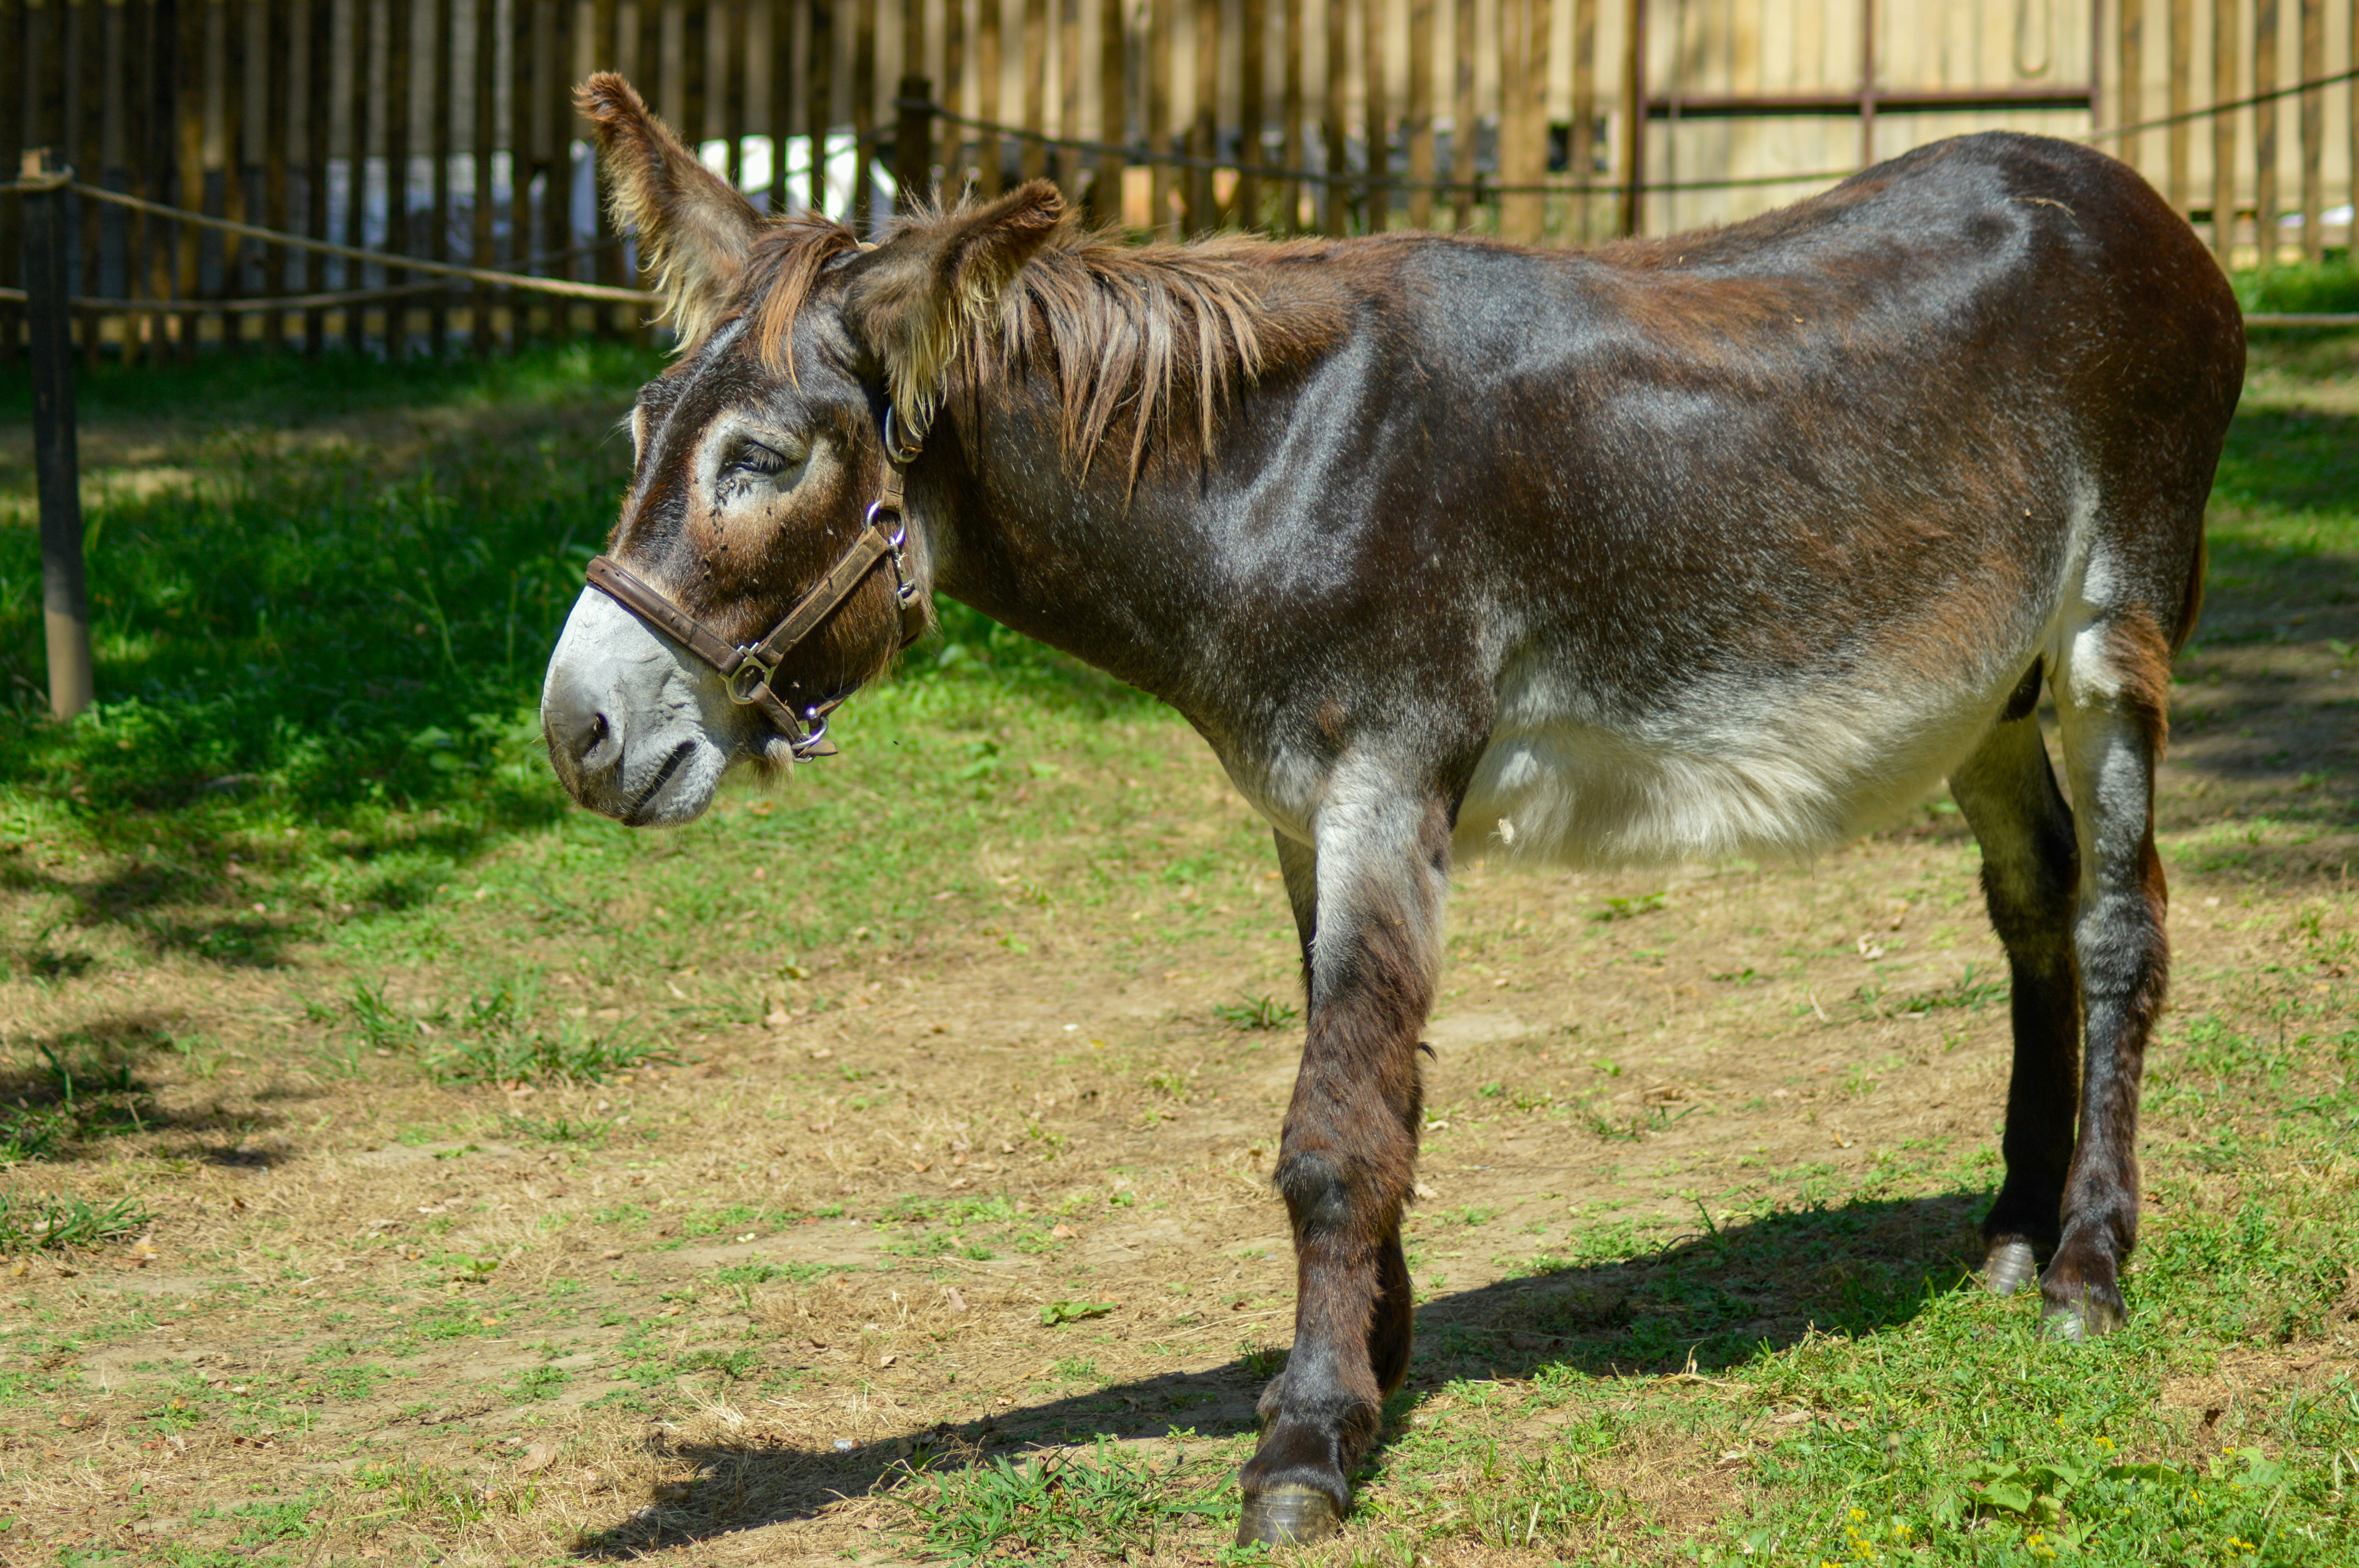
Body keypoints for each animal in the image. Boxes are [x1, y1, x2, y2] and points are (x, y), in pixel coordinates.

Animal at [539, 73, 2244, 1545]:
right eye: (638, 436)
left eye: (761, 463)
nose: (573, 732)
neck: (1262, 474)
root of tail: (2124, 191)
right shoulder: (1303, 811)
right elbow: (1374, 1085)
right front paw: (1370, 1355)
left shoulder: (1382, 780)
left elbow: (1332, 1130)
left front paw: (1303, 1446)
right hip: (1978, 683)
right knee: (2031, 909)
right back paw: (2013, 1230)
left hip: (2109, 630)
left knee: (2118, 927)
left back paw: (2089, 1265)